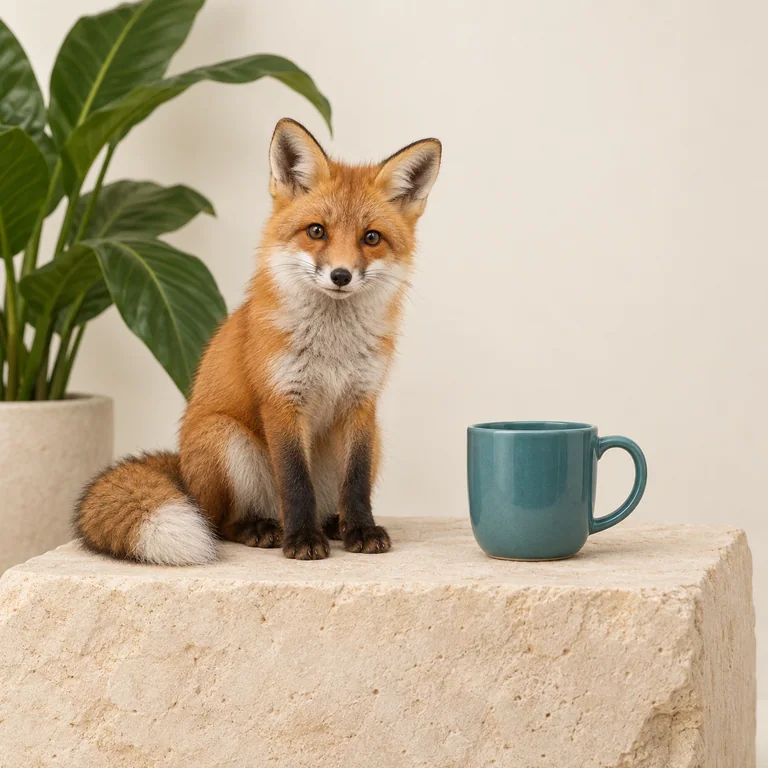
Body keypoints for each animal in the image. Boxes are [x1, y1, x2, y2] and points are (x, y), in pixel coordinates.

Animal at [74, 118, 441, 564]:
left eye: (371, 238)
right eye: (316, 231)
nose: (340, 276)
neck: (331, 349)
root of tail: (182, 469)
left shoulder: (361, 403)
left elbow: (355, 484)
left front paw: (360, 529)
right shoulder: (281, 399)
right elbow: (295, 482)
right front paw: (302, 540)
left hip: (374, 439)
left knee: (327, 501)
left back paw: (332, 524)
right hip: (224, 438)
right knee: (220, 522)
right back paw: (263, 528)